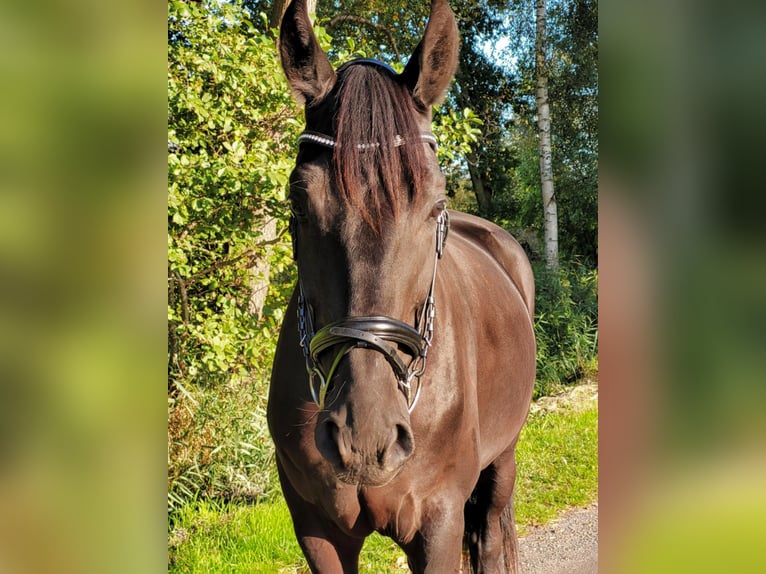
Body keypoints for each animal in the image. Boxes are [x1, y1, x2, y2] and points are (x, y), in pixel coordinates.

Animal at [270, 2, 540, 572]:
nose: (364, 436)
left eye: (435, 205)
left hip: (502, 459)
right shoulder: (315, 529)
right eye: (298, 201)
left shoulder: (438, 520)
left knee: (489, 535)